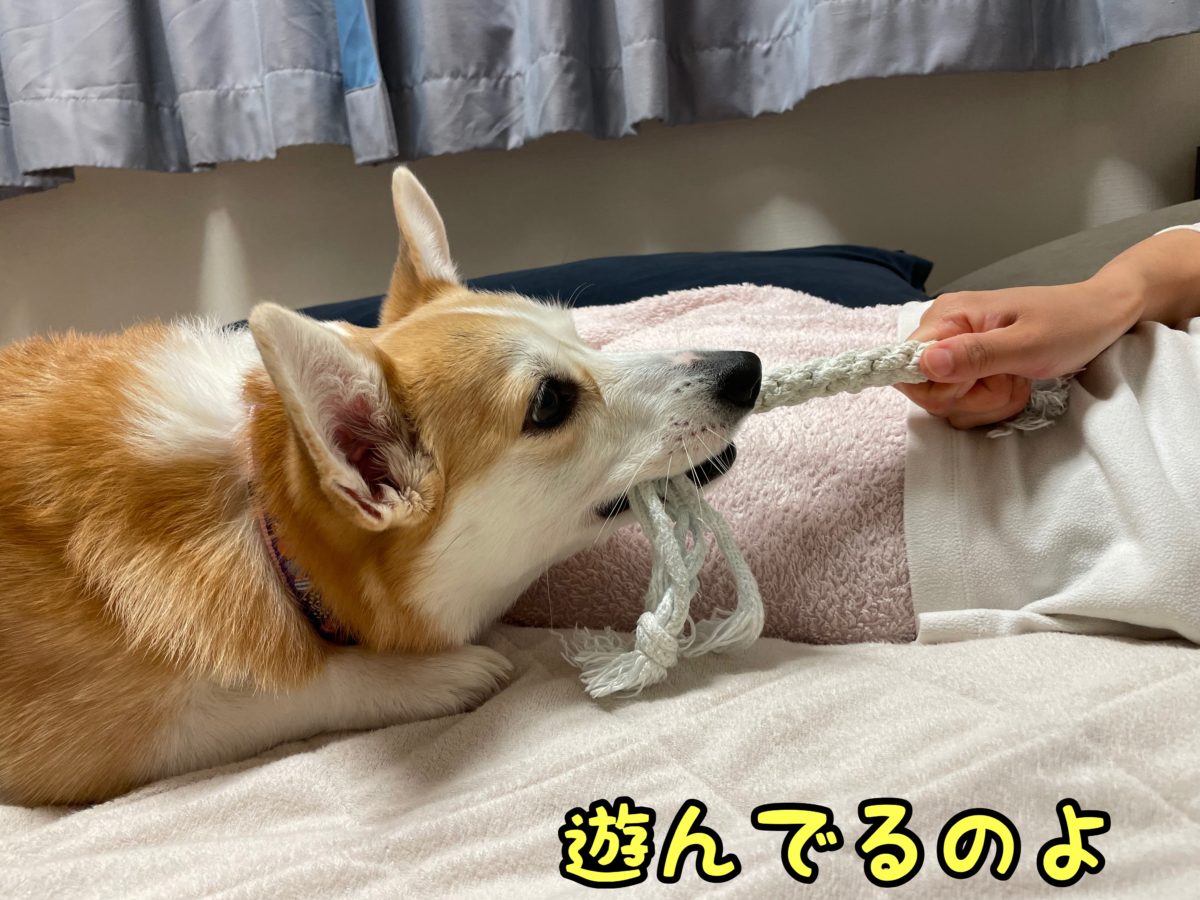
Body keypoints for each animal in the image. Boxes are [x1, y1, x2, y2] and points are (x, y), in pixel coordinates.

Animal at [0, 168, 761, 805]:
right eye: (549, 402)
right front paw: (442, 676)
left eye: (581, 337)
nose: (746, 368)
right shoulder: (96, 740)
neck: (262, 518)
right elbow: (293, 687)